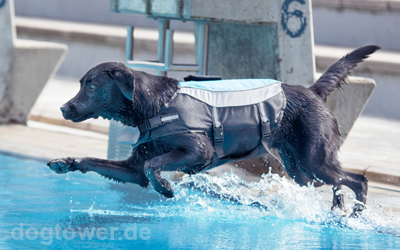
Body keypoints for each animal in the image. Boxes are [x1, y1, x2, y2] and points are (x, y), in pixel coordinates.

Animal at [48, 45, 380, 213]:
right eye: (81, 84)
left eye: (91, 85)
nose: (64, 108)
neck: (155, 105)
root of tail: (312, 92)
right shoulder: (133, 167)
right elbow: (99, 162)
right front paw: (66, 162)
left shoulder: (199, 150)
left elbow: (154, 166)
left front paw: (166, 188)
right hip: (300, 168)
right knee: (331, 184)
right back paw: (335, 211)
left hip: (315, 159)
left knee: (358, 181)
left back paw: (355, 214)